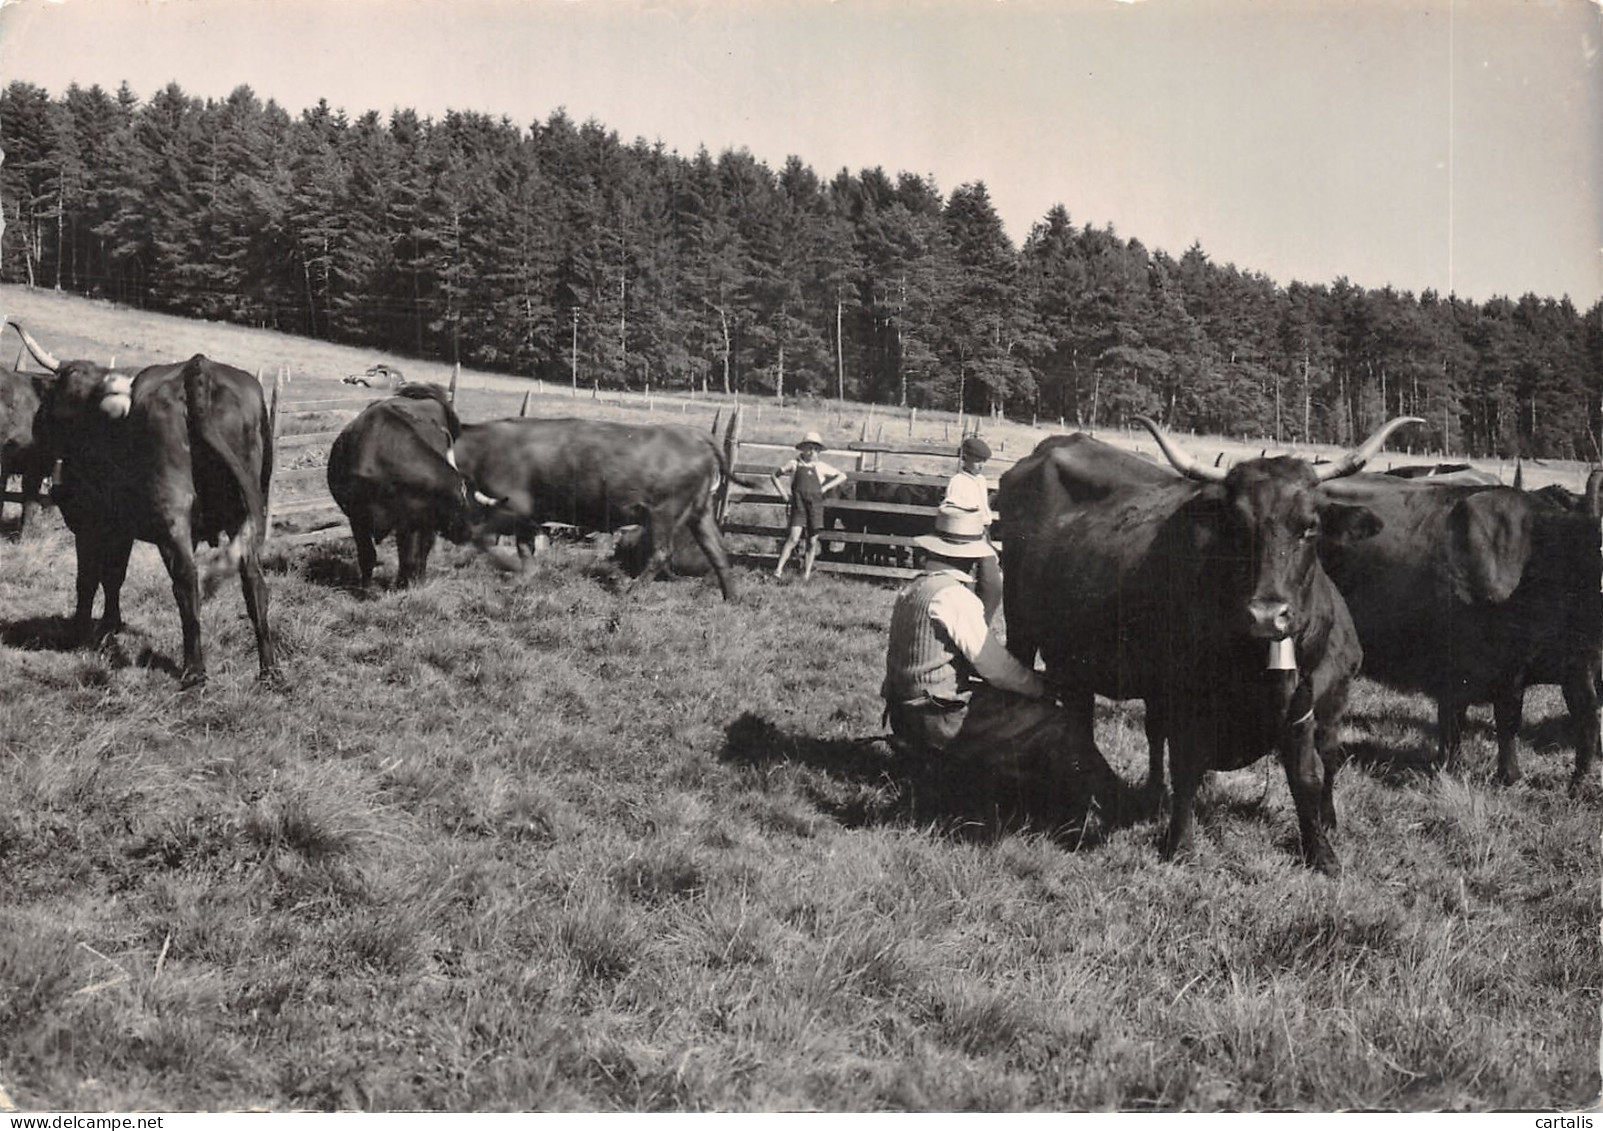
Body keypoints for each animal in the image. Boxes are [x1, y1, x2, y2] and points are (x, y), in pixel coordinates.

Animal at [322, 381, 503, 586]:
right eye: (470, 512)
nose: (467, 535)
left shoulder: (413, 519)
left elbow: (410, 556)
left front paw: (407, 585)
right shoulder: (357, 516)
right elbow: (367, 555)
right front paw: (366, 587)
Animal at [452, 416, 737, 599]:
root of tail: (695, 435)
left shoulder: (512, 507)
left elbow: (481, 536)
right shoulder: (526, 517)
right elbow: (524, 548)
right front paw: (525, 577)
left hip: (664, 512)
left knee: (663, 553)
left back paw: (631, 590)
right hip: (699, 512)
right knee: (718, 552)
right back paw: (730, 599)